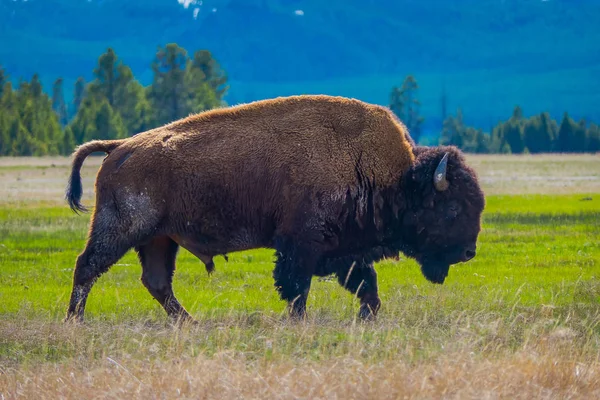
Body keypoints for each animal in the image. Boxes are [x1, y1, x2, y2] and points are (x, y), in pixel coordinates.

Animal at [63, 95, 486, 324]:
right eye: (452, 207)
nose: (469, 252)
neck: (389, 175)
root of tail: (120, 146)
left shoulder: (345, 251)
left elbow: (367, 286)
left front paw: (367, 317)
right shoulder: (301, 245)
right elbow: (297, 288)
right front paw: (299, 322)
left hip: (159, 238)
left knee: (156, 281)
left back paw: (190, 323)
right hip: (121, 229)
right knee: (88, 266)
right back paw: (75, 321)